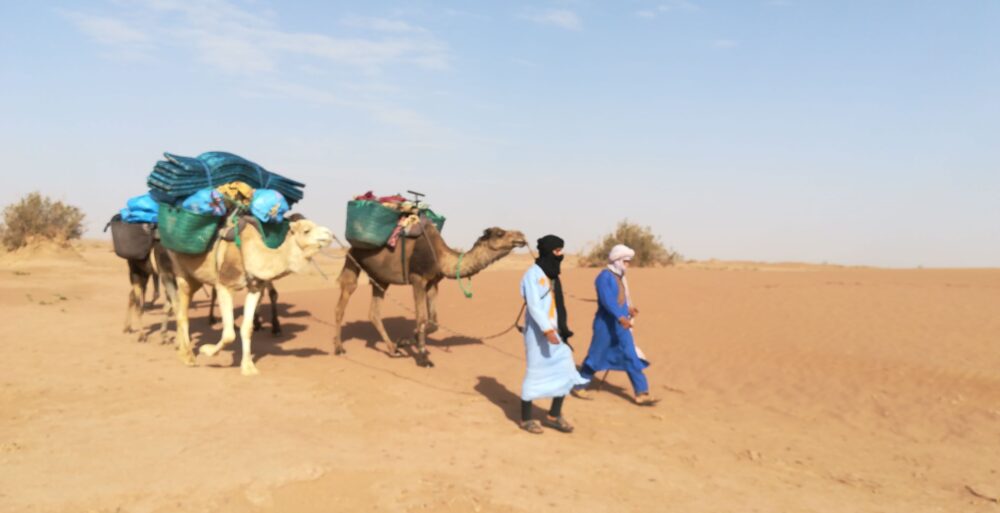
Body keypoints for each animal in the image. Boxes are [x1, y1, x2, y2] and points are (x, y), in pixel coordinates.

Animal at [168, 214, 332, 374]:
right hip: (178, 265)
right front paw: (206, 350)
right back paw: (187, 356)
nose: (330, 234)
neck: (250, 252)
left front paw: (248, 367)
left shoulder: (255, 288)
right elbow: (229, 334)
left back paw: (179, 347)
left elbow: (247, 328)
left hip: (196, 278)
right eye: (306, 231)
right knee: (182, 311)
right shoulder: (224, 286)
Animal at [332, 222, 528, 366]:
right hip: (353, 259)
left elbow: (433, 322)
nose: (522, 236)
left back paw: (393, 349)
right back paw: (339, 348)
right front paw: (423, 358)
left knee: (374, 312)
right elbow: (421, 318)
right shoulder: (417, 279)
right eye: (500, 233)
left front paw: (405, 341)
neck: (441, 257)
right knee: (343, 301)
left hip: (381, 278)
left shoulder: (433, 283)